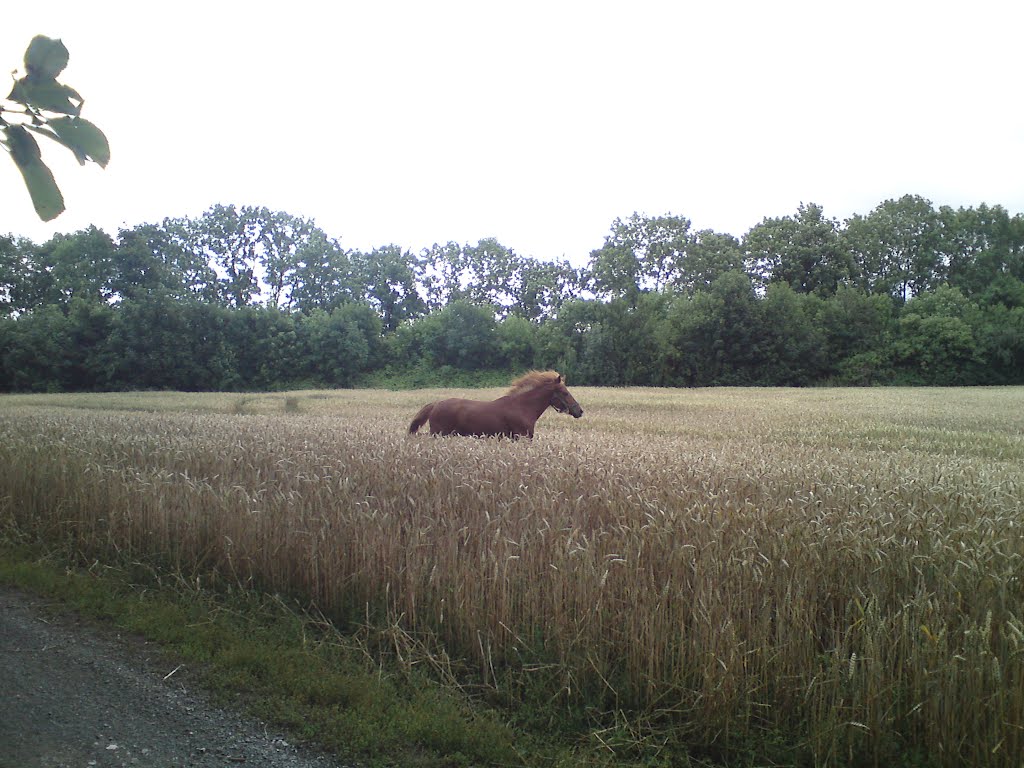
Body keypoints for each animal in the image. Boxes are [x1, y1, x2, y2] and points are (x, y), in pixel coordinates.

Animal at [407, 372, 585, 438]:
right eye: (565, 392)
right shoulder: (522, 437)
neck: (522, 407)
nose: (579, 411)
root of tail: (435, 404)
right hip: (439, 434)